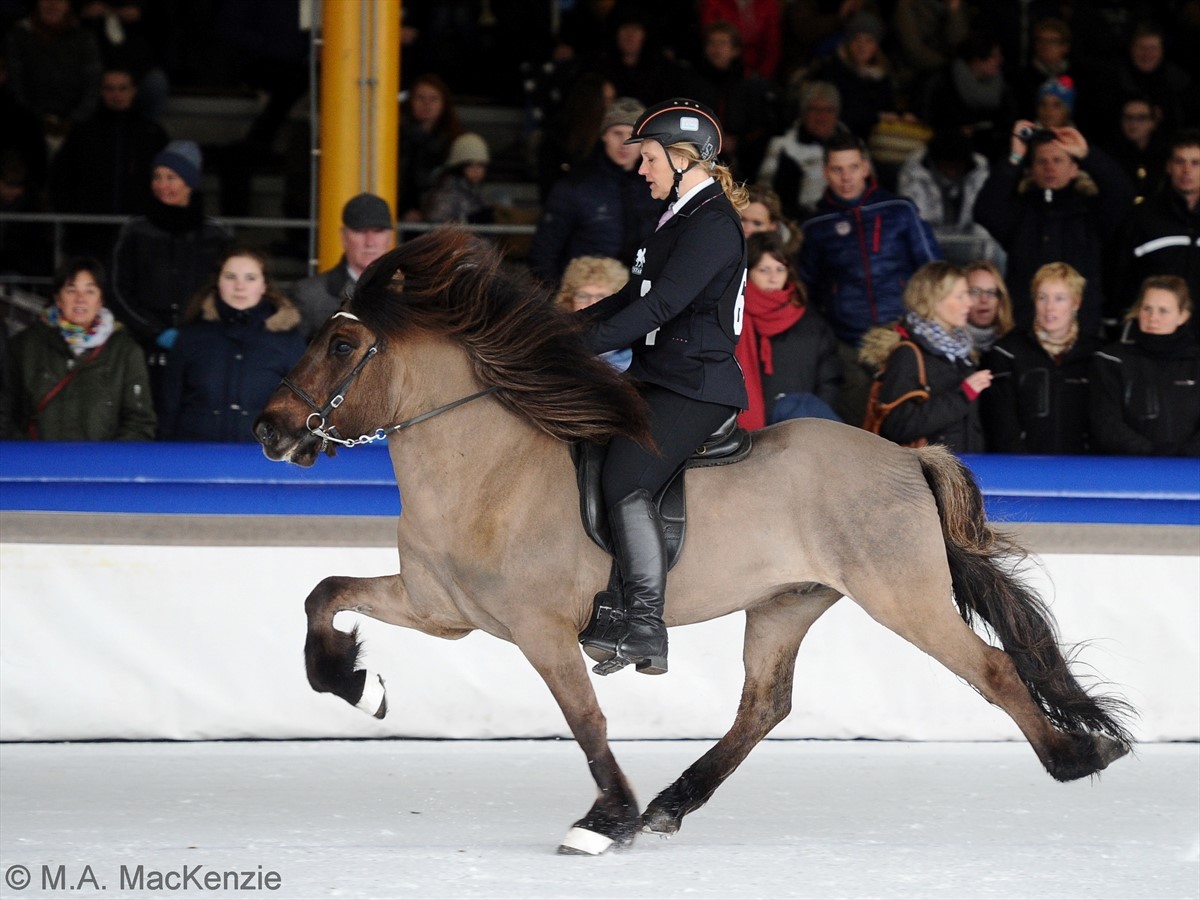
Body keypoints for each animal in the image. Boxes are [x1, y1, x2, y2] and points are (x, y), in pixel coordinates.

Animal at [253, 226, 1132, 859]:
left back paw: (1075, 758)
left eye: (341, 346)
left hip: (901, 595)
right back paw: (672, 804)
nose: (270, 429)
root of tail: (906, 454)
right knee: (763, 705)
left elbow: (586, 719)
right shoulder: (440, 611)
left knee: (991, 668)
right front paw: (355, 683)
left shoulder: (540, 631)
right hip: (786, 604)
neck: (484, 467)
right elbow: (322, 596)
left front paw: (604, 820)